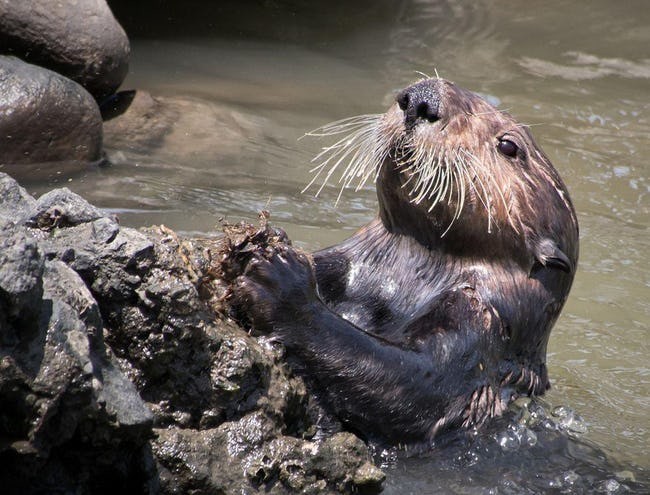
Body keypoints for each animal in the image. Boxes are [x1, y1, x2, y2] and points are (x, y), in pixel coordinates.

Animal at [229, 77, 576, 446]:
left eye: (509, 146)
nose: (420, 99)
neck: (405, 283)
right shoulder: (347, 262)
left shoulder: (481, 328)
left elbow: (414, 387)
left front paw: (280, 281)